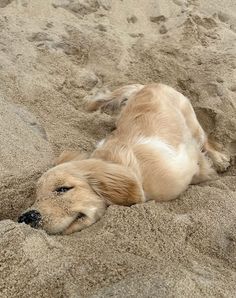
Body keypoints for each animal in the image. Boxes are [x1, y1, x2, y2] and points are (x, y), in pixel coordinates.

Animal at [18, 82, 230, 234]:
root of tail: (148, 85)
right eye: (36, 196)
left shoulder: (187, 159)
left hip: (192, 122)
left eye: (63, 189)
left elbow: (202, 165)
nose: (26, 218)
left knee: (205, 140)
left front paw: (211, 170)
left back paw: (220, 159)